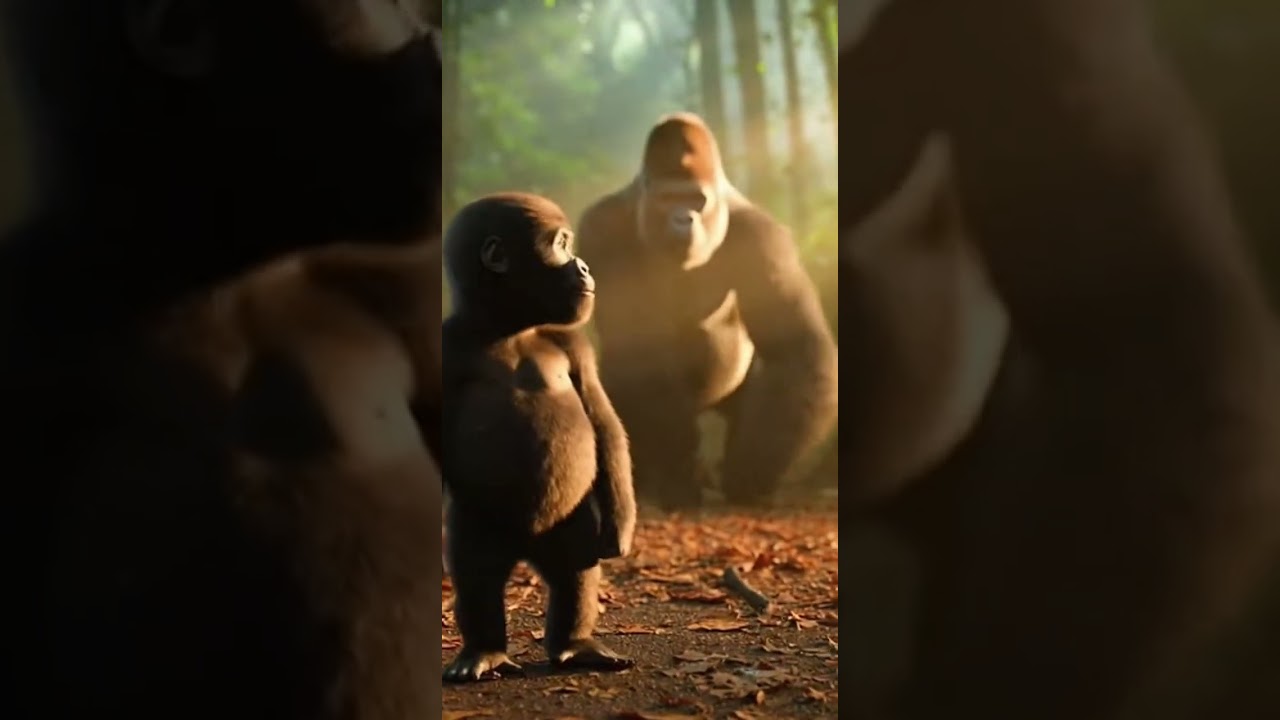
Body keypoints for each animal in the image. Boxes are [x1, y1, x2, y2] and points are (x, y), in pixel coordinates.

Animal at [441, 192, 638, 683]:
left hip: (568, 526)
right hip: (480, 524)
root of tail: (525, 544)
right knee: (477, 577)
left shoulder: (574, 344)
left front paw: (621, 526)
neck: (510, 328)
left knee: (575, 572)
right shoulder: (445, 343)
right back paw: (483, 652)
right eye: (560, 244)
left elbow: (602, 422)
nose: (582, 265)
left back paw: (576, 645)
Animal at [577, 112, 838, 510]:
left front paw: (749, 472)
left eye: (696, 200)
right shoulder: (600, 227)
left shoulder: (764, 239)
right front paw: (676, 478)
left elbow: (794, 348)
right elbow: (638, 354)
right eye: (669, 198)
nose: (683, 219)